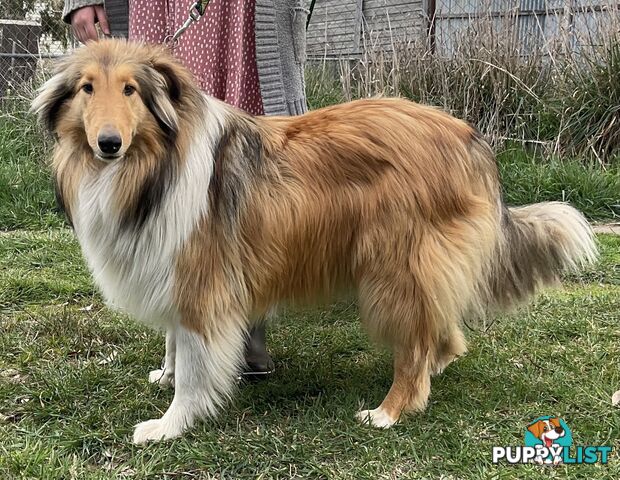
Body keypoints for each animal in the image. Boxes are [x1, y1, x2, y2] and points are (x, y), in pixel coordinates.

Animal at [32, 40, 596, 442]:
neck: (153, 168)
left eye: (131, 89)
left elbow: (194, 366)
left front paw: (169, 426)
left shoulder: (201, 285)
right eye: (86, 88)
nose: (108, 144)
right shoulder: (171, 269)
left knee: (413, 346)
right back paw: (437, 364)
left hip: (394, 271)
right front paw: (165, 376)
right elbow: (174, 344)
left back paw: (390, 410)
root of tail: (471, 139)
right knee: (441, 328)